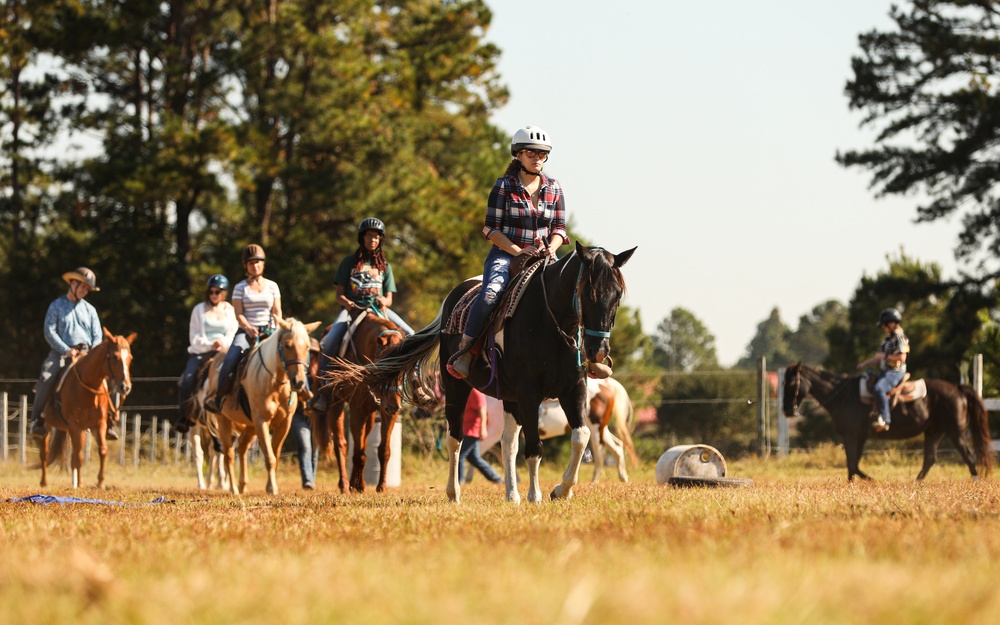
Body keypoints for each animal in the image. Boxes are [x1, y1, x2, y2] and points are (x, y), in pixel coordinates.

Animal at [37, 326, 136, 488]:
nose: (125, 387)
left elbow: (102, 450)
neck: (88, 388)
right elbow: (78, 456)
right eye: (114, 357)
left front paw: (100, 482)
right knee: (45, 453)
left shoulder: (99, 424)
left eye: (130, 358)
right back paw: (44, 482)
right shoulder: (75, 425)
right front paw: (80, 485)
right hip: (47, 426)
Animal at [208, 316, 320, 492]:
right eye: (287, 345)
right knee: (229, 455)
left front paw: (270, 486)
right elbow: (269, 456)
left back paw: (242, 485)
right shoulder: (261, 421)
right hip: (223, 419)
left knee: (242, 446)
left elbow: (274, 454)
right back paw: (233, 488)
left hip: (250, 425)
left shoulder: (284, 423)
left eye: (307, 347)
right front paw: (272, 488)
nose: (299, 382)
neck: (275, 384)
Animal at [312, 312, 406, 492]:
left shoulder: (386, 412)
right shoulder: (357, 409)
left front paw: (381, 486)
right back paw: (344, 484)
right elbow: (358, 452)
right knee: (341, 444)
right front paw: (358, 486)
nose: (393, 405)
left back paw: (354, 483)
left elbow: (383, 450)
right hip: (336, 405)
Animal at [334, 241, 632, 504]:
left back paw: (512, 495)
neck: (550, 324)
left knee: (513, 443)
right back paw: (454, 493)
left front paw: (561, 490)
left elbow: (579, 438)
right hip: (459, 388)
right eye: (589, 293)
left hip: (514, 399)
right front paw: (535, 496)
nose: (598, 350)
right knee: (455, 439)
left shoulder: (573, 390)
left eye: (617, 296)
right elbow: (534, 448)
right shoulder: (529, 395)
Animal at [784, 358, 996, 480]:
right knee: (930, 459)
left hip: (955, 431)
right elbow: (853, 464)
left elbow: (852, 465)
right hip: (934, 431)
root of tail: (957, 388)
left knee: (968, 456)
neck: (842, 396)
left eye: (793, 382)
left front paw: (871, 481)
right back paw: (915, 483)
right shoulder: (859, 437)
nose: (786, 410)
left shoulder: (851, 435)